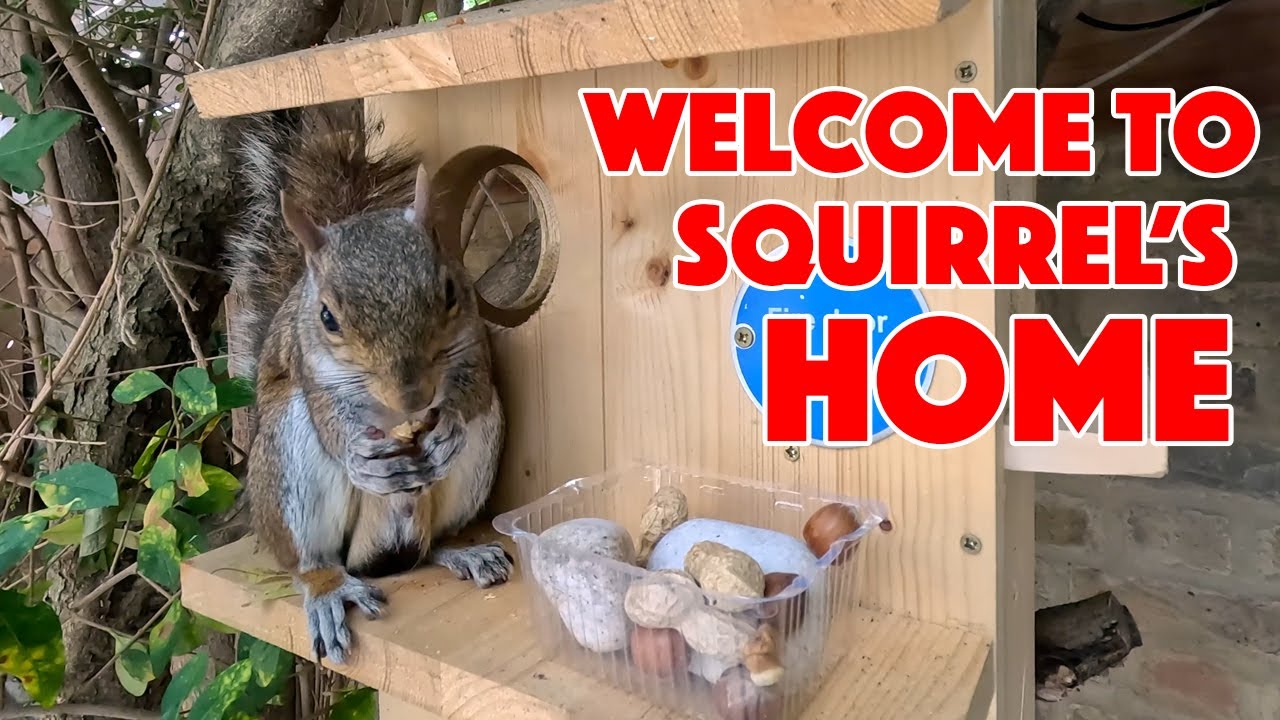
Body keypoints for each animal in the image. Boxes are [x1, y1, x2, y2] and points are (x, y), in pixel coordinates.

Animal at [224, 109, 511, 664]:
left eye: (450, 291)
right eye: (327, 318)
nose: (414, 398)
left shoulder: (475, 345)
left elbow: (474, 388)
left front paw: (447, 429)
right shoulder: (311, 369)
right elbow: (332, 421)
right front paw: (359, 456)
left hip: (482, 452)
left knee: (425, 547)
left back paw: (460, 552)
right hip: (288, 458)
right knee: (314, 563)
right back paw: (330, 590)